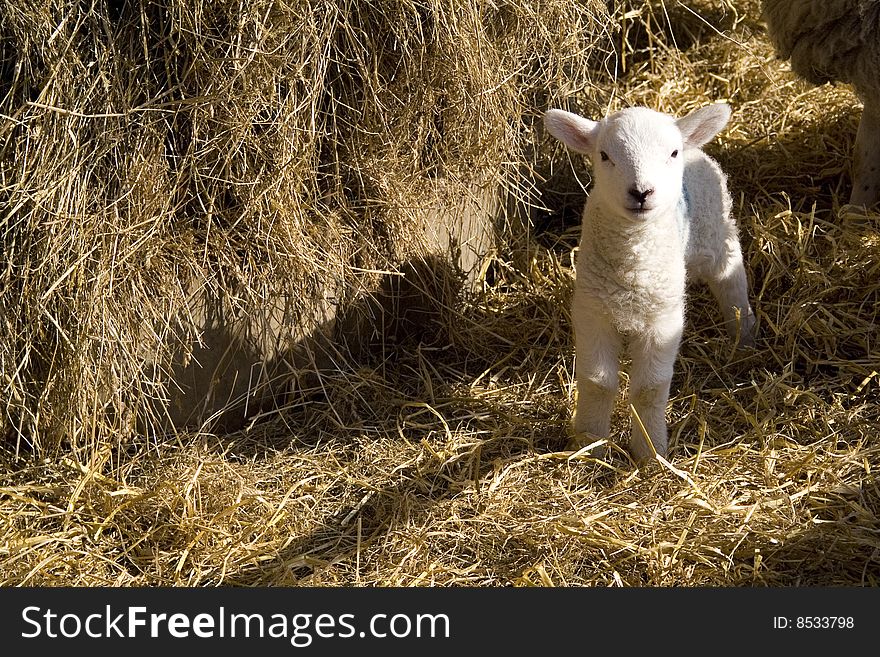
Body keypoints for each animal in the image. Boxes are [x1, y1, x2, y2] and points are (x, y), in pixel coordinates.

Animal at [544, 101, 756, 462]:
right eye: (604, 155)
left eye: (671, 153)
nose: (641, 192)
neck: (633, 270)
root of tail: (693, 142)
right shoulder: (592, 312)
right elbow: (597, 382)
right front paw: (589, 444)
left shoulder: (662, 321)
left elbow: (649, 388)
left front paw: (650, 451)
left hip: (717, 232)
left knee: (732, 281)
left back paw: (744, 335)